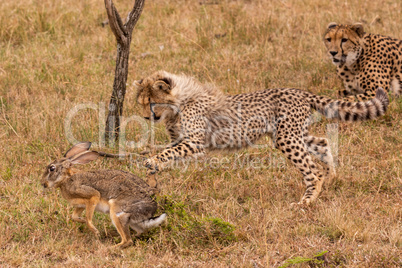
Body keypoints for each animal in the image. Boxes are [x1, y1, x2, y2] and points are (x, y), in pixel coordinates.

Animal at [135, 71, 390, 205]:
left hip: (287, 139)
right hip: (294, 134)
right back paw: (332, 176)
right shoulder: (181, 139)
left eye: (152, 102)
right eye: (141, 103)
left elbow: (168, 152)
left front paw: (152, 162)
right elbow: (169, 152)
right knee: (323, 143)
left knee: (312, 170)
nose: (147, 117)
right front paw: (153, 171)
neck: (179, 102)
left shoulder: (196, 141)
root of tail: (298, 91)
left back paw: (308, 199)